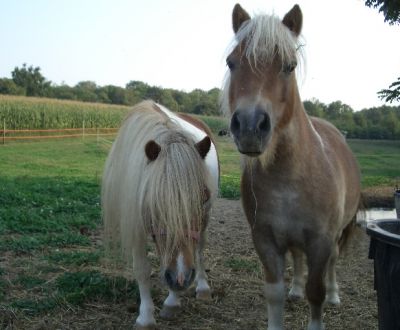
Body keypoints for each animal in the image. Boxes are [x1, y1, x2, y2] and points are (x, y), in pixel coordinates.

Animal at [101, 100, 219, 328]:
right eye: (153, 200)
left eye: (203, 197)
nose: (182, 277)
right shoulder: (136, 223)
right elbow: (142, 269)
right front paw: (145, 317)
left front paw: (172, 301)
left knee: (199, 249)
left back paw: (202, 287)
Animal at [222, 3, 362, 330]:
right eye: (231, 63)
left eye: (289, 66)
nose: (249, 126)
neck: (288, 177)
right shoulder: (265, 239)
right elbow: (274, 294)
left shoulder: (321, 241)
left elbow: (316, 292)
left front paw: (322, 303)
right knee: (298, 260)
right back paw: (296, 289)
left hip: (335, 236)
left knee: (333, 262)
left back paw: (335, 295)